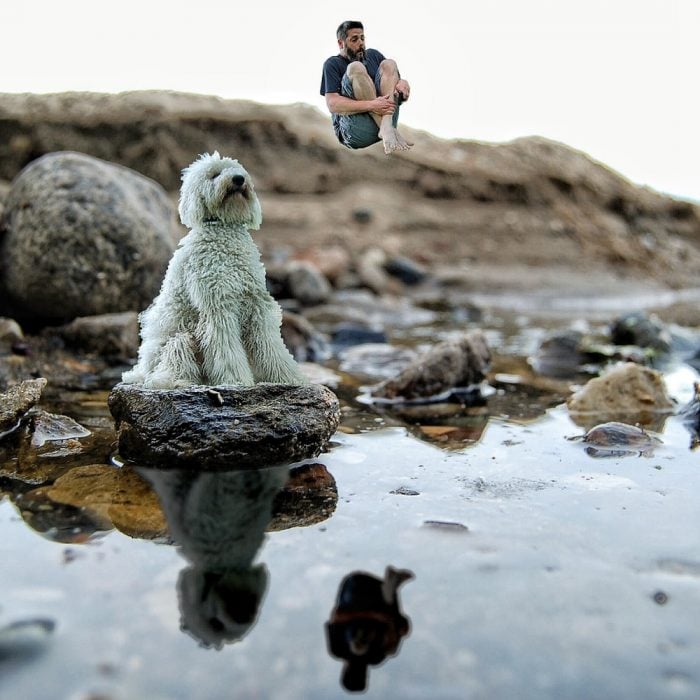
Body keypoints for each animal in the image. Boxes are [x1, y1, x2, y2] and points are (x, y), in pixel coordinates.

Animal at [122, 152, 306, 388]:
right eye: (214, 175)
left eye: (237, 169)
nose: (238, 179)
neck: (224, 230)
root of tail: (140, 370)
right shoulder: (218, 306)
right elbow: (225, 349)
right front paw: (236, 380)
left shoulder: (257, 304)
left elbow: (271, 345)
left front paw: (289, 378)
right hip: (180, 340)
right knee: (168, 369)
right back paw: (177, 381)